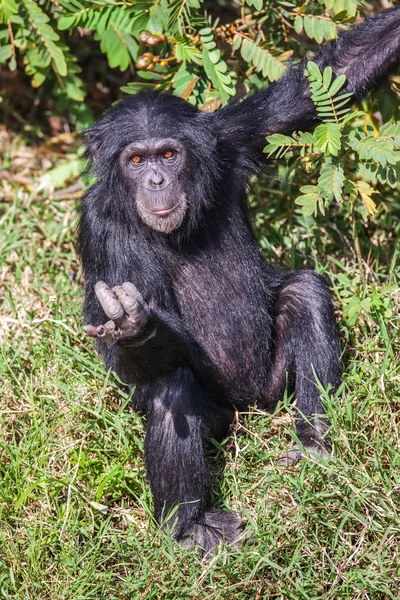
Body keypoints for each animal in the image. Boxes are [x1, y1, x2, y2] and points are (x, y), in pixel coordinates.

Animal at [79, 7, 400, 556]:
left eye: (168, 155)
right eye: (136, 160)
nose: (156, 180)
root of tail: (247, 407)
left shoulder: (230, 137)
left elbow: (318, 87)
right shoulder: (97, 227)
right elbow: (121, 352)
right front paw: (133, 327)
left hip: (271, 386)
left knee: (305, 294)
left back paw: (313, 445)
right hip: (218, 415)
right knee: (171, 388)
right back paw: (189, 527)